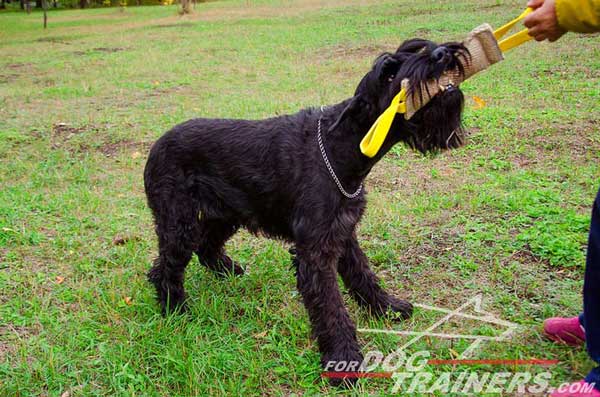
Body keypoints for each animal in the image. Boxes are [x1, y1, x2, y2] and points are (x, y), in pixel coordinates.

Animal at [144, 39, 468, 380]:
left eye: (417, 47)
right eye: (389, 72)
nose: (441, 54)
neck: (342, 147)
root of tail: (155, 146)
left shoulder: (343, 231)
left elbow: (363, 274)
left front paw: (386, 307)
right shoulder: (315, 251)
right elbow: (330, 307)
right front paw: (343, 360)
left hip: (225, 213)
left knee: (203, 246)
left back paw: (223, 272)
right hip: (179, 221)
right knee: (170, 265)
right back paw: (175, 308)